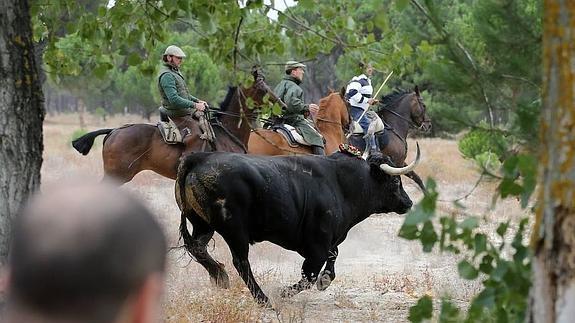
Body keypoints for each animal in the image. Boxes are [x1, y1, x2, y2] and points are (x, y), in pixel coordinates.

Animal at [178, 147, 420, 306]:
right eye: (396, 181)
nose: (408, 203)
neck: (342, 184)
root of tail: (199, 158)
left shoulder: (329, 240)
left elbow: (331, 259)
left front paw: (325, 280)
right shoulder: (317, 245)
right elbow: (309, 275)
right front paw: (283, 292)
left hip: (202, 225)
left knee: (198, 248)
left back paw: (220, 275)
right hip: (234, 230)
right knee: (241, 263)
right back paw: (264, 299)